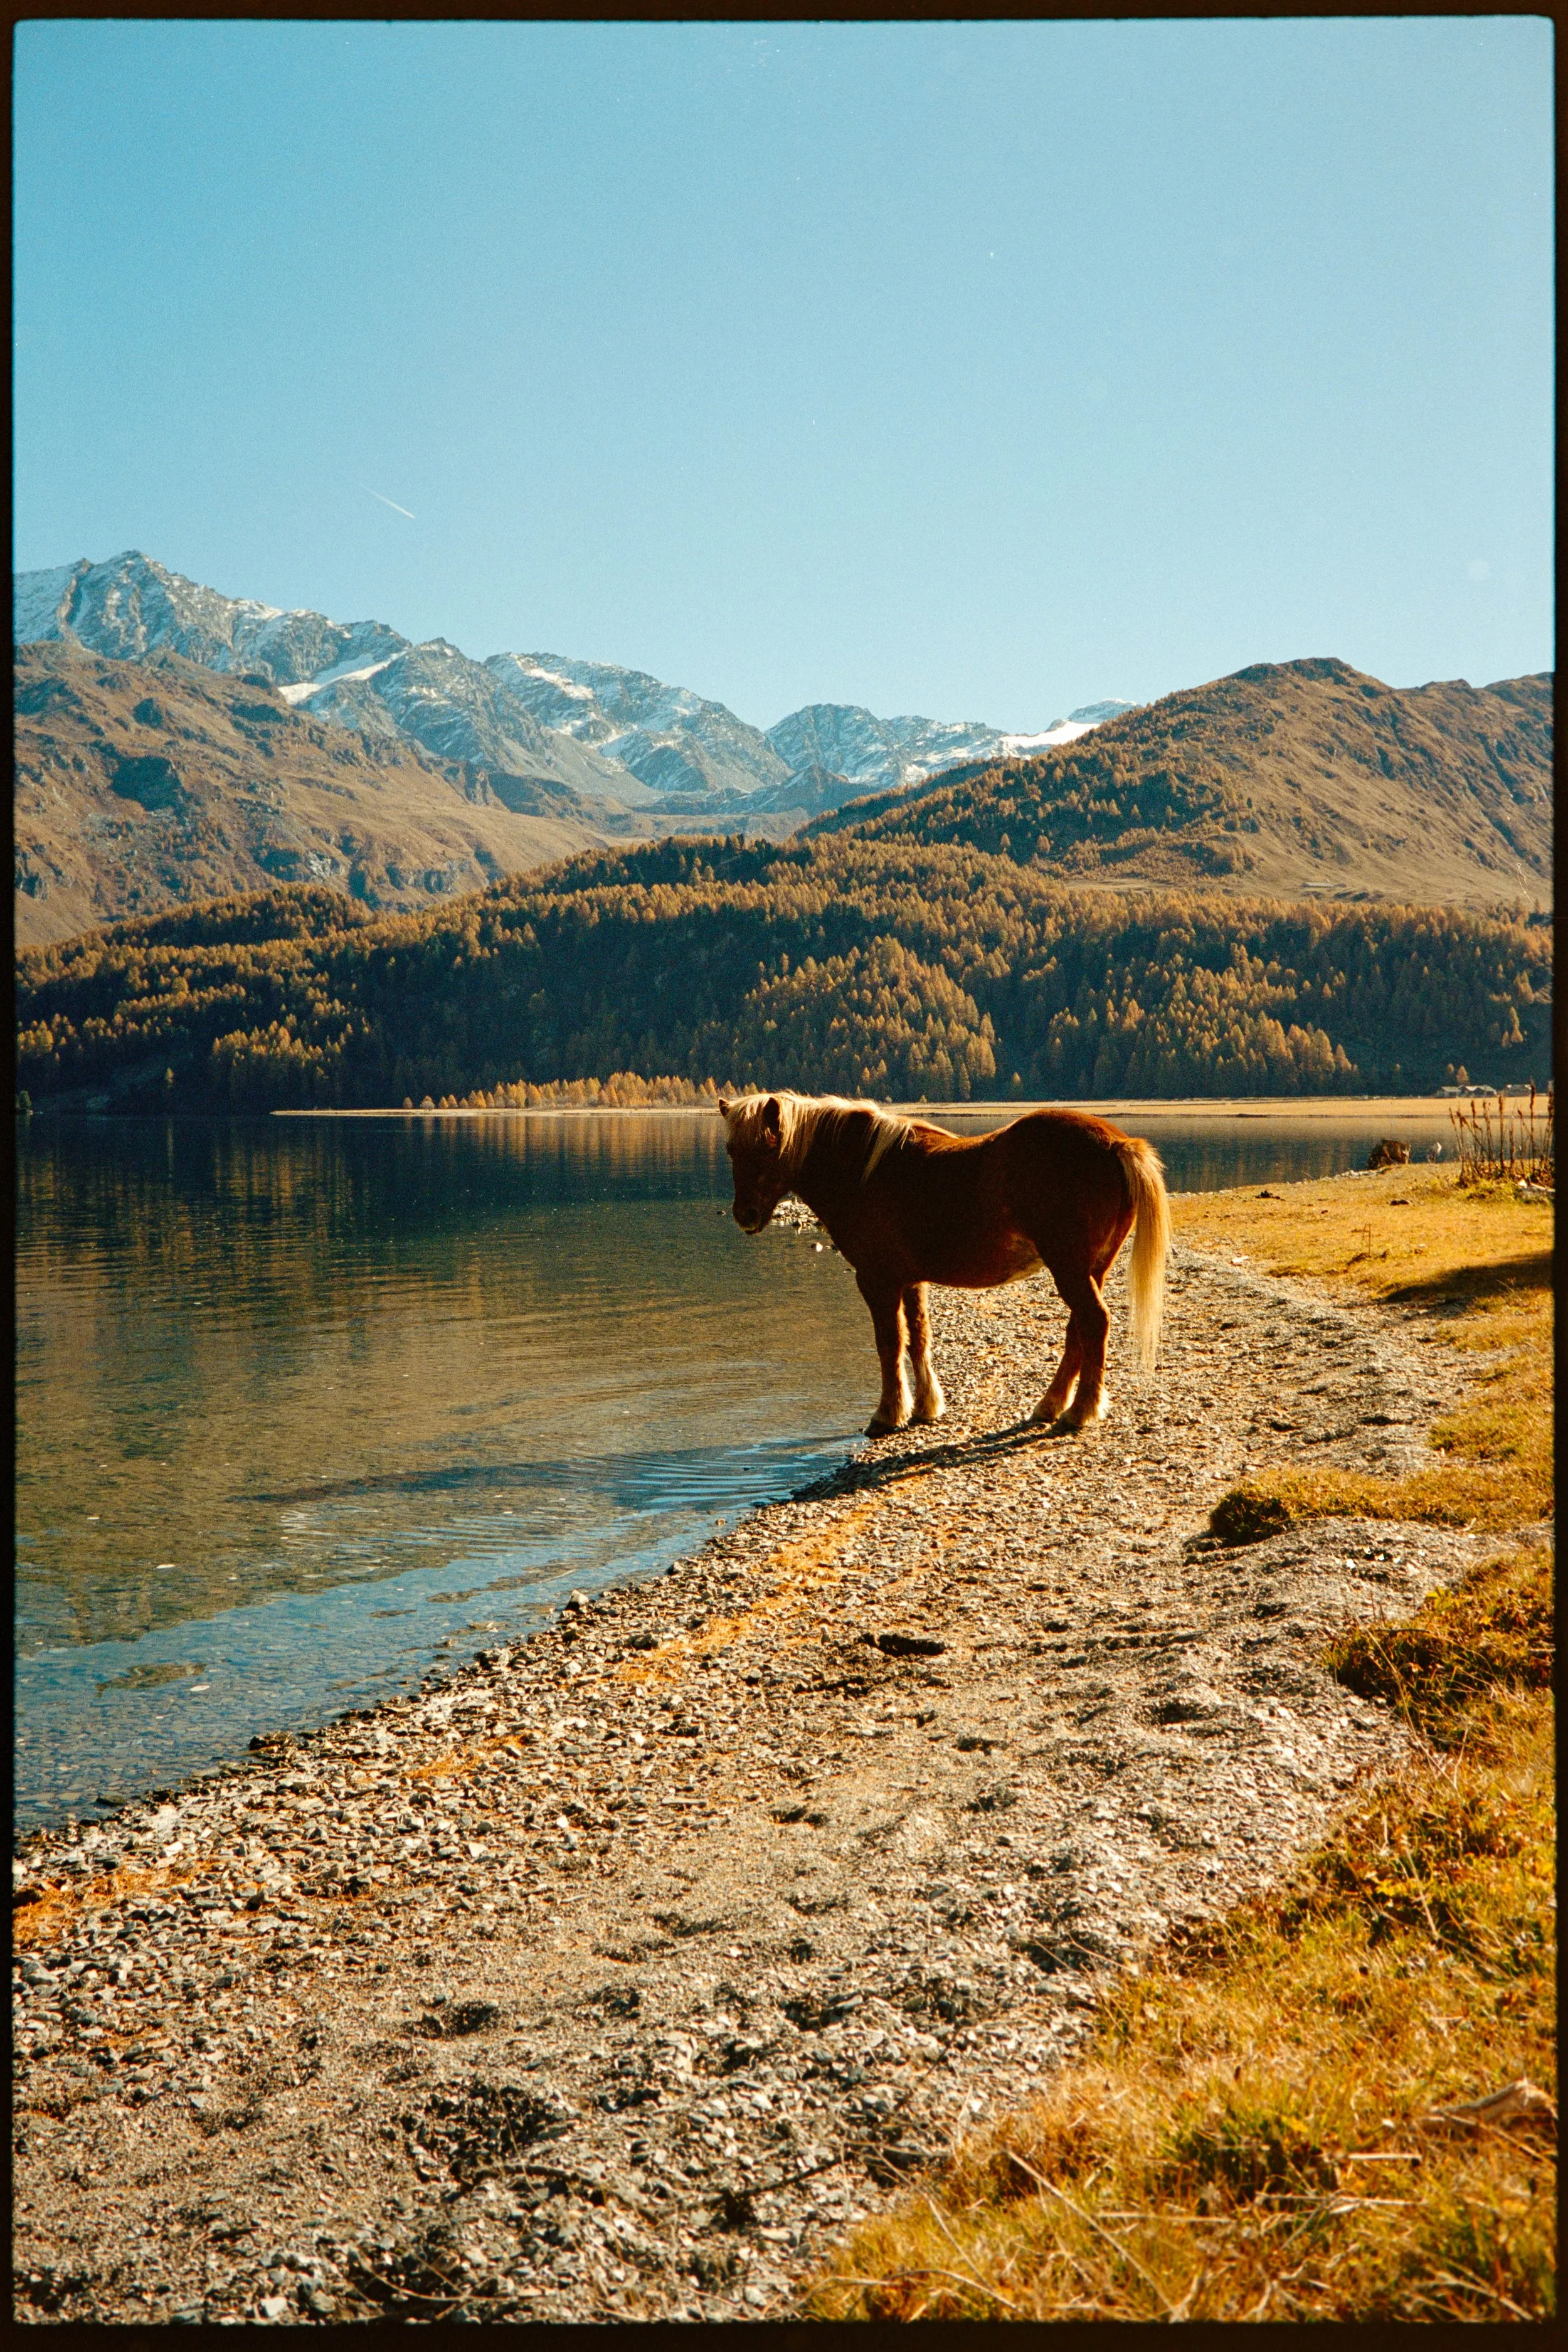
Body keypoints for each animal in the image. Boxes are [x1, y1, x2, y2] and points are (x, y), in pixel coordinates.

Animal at [719, 1091, 1171, 1437]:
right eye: (731, 1150)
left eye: (767, 1146)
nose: (745, 1216)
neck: (862, 1171)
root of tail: (1119, 1144)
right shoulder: (910, 1280)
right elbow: (919, 1338)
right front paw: (926, 1407)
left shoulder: (877, 1281)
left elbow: (890, 1344)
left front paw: (888, 1415)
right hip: (1092, 1269)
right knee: (1079, 1330)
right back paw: (1052, 1405)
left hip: (1071, 1269)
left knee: (1094, 1323)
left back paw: (1081, 1411)